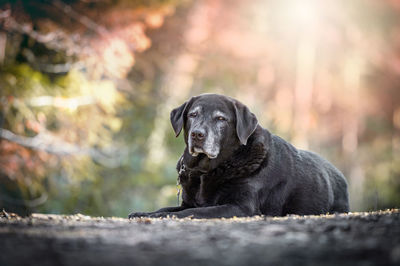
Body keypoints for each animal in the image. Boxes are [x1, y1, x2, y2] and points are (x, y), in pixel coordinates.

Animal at [130, 93, 348, 218]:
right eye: (193, 114)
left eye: (220, 119)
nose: (197, 134)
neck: (206, 171)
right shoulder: (187, 202)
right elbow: (166, 209)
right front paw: (144, 213)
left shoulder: (241, 207)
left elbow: (195, 212)